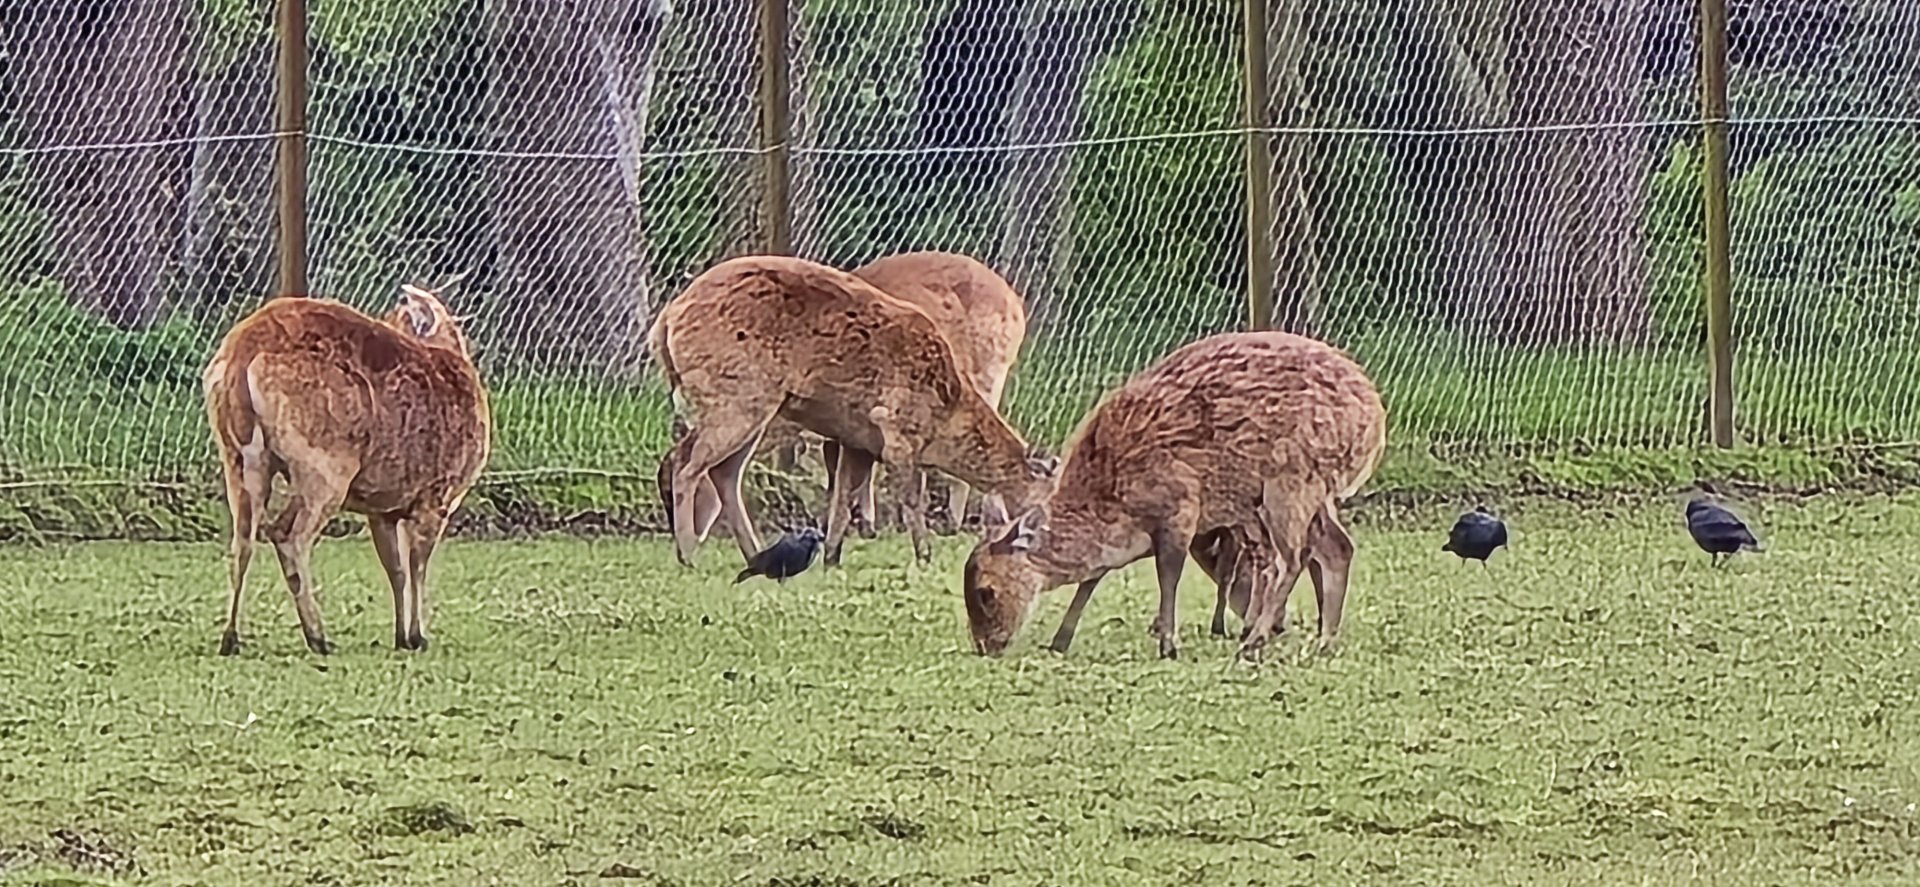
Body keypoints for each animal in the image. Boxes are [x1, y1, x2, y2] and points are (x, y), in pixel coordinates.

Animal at [202, 281, 491, 656]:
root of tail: (239, 358)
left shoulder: (382, 509)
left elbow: (395, 568)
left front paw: (400, 636)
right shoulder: (437, 494)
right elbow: (417, 565)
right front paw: (416, 636)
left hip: (236, 458)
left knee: (243, 540)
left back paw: (231, 638)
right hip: (326, 465)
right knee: (289, 535)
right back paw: (318, 636)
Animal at [647, 254, 1055, 570]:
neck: (945, 414)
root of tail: (665, 321)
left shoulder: (857, 438)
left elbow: (842, 492)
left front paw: (832, 554)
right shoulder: (893, 428)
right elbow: (910, 495)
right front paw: (924, 555)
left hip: (749, 407)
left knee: (722, 472)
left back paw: (754, 555)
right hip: (739, 399)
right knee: (688, 465)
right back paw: (688, 554)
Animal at [961, 330, 1387, 661]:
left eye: (986, 592)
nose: (986, 646)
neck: (1112, 505)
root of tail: (1375, 419)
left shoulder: (1182, 504)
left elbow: (1168, 573)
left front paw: (1168, 643)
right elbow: (1093, 577)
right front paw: (1059, 641)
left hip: (1290, 479)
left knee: (1294, 556)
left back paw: (1253, 642)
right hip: (1316, 489)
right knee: (1337, 546)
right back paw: (1324, 641)